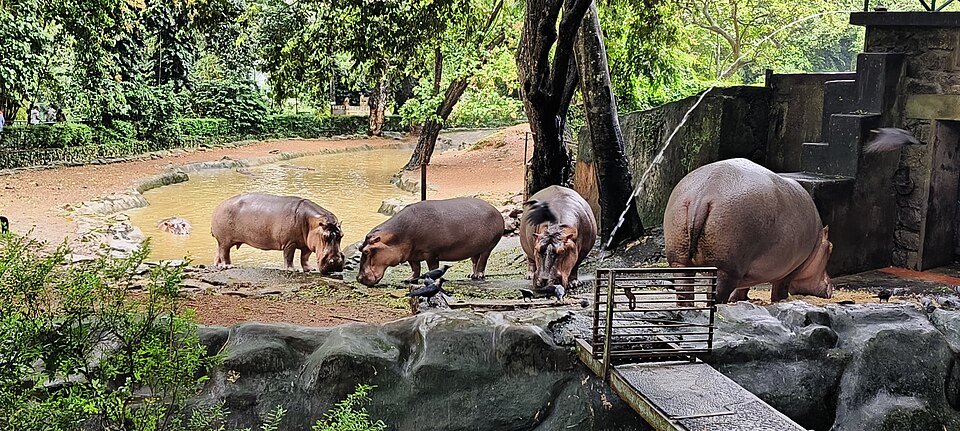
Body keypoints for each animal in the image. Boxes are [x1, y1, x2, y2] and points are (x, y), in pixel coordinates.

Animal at [211, 193, 344, 274]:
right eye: (324, 236)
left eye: (341, 235)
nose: (335, 262)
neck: (312, 222)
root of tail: (218, 206)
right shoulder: (290, 243)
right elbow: (289, 256)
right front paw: (292, 270)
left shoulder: (307, 244)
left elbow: (305, 257)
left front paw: (310, 269)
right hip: (225, 241)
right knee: (224, 253)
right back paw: (227, 266)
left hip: (222, 241)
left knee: (218, 252)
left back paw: (217, 265)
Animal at [356, 197, 504, 286]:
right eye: (360, 249)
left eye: (366, 251)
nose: (359, 279)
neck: (396, 236)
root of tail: (496, 210)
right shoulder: (411, 254)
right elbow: (415, 268)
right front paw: (409, 280)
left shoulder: (430, 252)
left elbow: (433, 267)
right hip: (475, 247)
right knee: (475, 260)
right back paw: (471, 275)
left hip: (488, 246)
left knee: (482, 261)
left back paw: (478, 276)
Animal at [663, 158, 833, 304]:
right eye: (831, 247)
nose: (830, 289)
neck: (818, 242)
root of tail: (703, 193)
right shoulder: (791, 270)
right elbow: (780, 291)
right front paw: (780, 301)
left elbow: (742, 288)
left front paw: (737, 299)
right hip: (726, 267)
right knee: (715, 294)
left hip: (679, 258)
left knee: (684, 290)